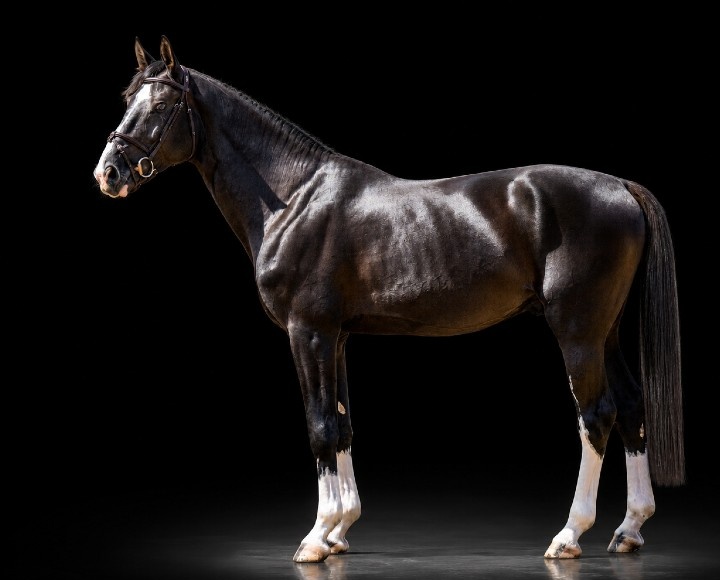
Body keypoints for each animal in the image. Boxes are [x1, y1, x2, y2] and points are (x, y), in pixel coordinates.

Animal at [93, 36, 684, 563]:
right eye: (128, 101)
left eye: (161, 106)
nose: (108, 173)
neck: (294, 197)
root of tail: (621, 187)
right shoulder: (335, 336)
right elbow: (342, 423)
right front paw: (339, 530)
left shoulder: (307, 332)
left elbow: (319, 427)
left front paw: (316, 537)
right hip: (606, 331)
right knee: (632, 407)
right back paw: (628, 529)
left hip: (577, 331)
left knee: (596, 416)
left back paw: (569, 535)